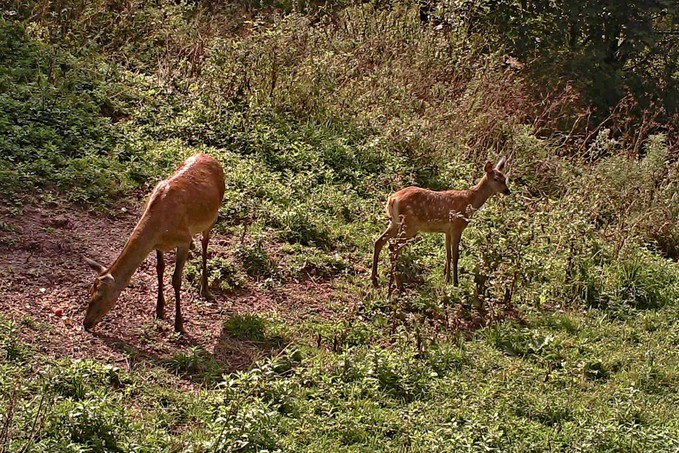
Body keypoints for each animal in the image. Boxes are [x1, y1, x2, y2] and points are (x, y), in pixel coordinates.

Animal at [83, 154, 226, 334]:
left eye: (100, 296)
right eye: (89, 291)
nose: (86, 323)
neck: (160, 227)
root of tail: (209, 156)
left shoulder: (183, 240)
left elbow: (176, 279)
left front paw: (179, 324)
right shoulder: (158, 245)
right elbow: (160, 269)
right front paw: (159, 309)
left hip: (213, 217)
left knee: (205, 243)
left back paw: (205, 289)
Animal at [372, 156, 510, 286]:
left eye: (505, 178)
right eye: (496, 179)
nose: (508, 191)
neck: (470, 200)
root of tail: (392, 199)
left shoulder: (447, 231)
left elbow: (447, 254)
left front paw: (446, 280)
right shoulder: (457, 227)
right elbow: (455, 256)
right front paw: (455, 283)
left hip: (395, 222)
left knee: (380, 242)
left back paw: (375, 279)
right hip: (409, 225)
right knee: (394, 247)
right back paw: (397, 284)